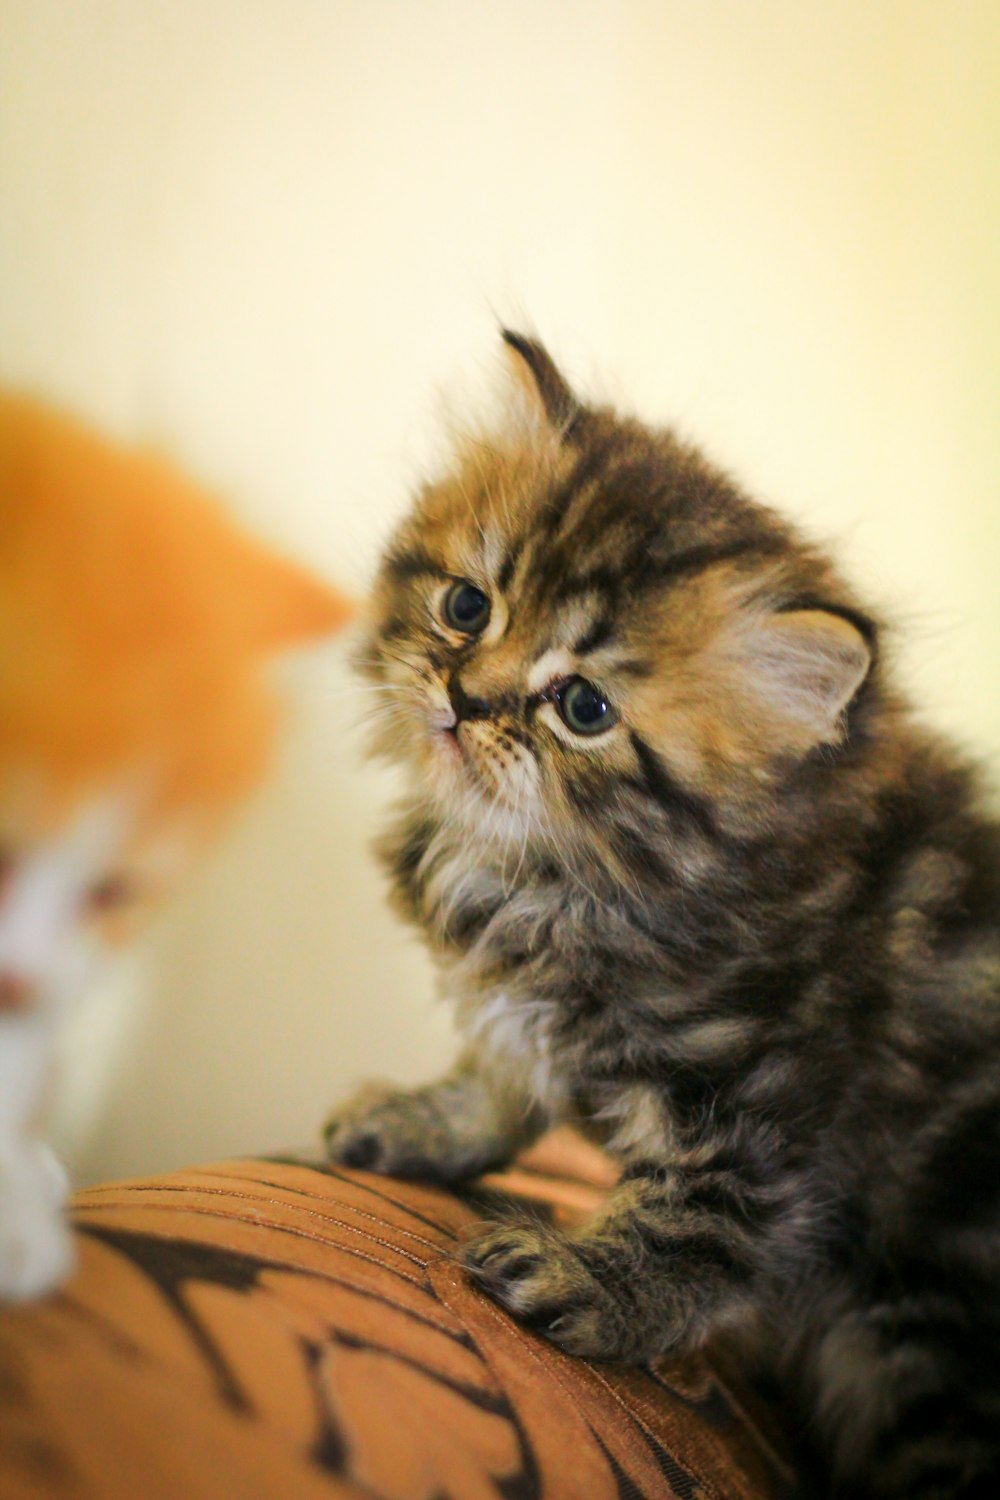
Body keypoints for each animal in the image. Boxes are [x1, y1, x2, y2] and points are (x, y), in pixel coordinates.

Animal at [326, 334, 1000, 1494]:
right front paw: (415, 1121)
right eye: (468, 607)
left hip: (920, 1334)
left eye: (583, 707)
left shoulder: (764, 1109)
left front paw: (578, 1276)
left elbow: (691, 1226)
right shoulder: (518, 1025)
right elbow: (495, 1079)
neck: (559, 878)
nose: (463, 699)